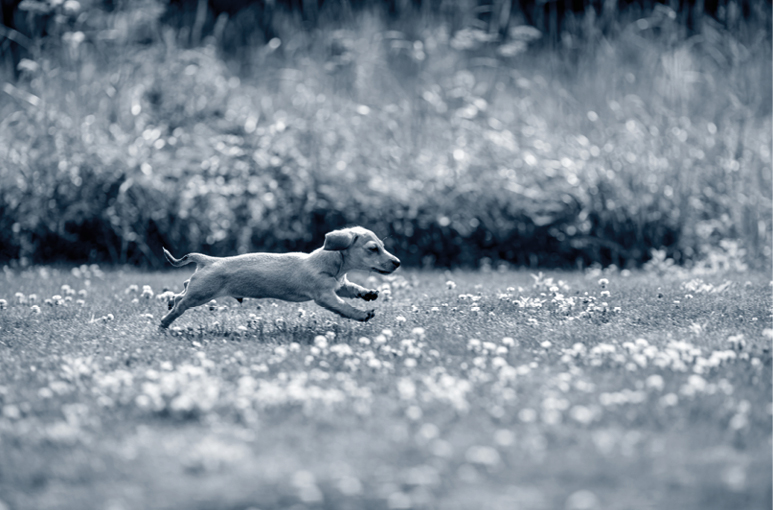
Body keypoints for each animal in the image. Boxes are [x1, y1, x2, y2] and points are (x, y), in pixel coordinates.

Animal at [157, 226, 398, 328]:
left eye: (382, 245)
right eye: (373, 248)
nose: (398, 263)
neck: (329, 265)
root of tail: (208, 260)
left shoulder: (339, 285)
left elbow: (352, 288)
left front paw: (368, 293)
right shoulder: (324, 296)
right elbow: (344, 307)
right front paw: (362, 314)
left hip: (197, 290)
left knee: (181, 292)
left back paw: (169, 303)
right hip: (201, 294)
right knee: (181, 303)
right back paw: (165, 321)